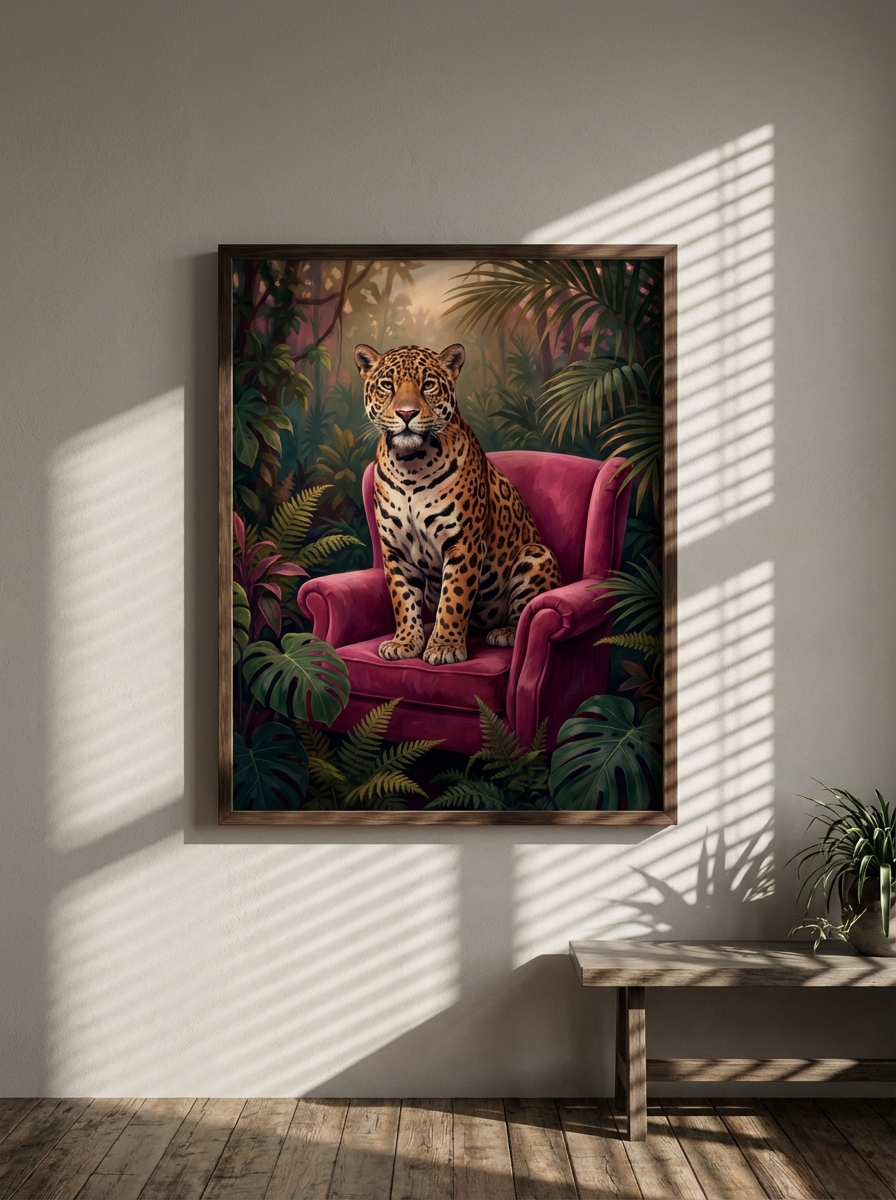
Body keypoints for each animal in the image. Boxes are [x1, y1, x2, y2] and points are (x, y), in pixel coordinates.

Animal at [353, 341, 562, 666]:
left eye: (428, 385)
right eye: (387, 385)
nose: (406, 413)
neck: (410, 464)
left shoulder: (462, 543)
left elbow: (454, 598)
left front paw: (445, 647)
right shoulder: (395, 551)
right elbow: (403, 599)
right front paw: (406, 641)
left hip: (537, 554)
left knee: (524, 613)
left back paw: (506, 632)